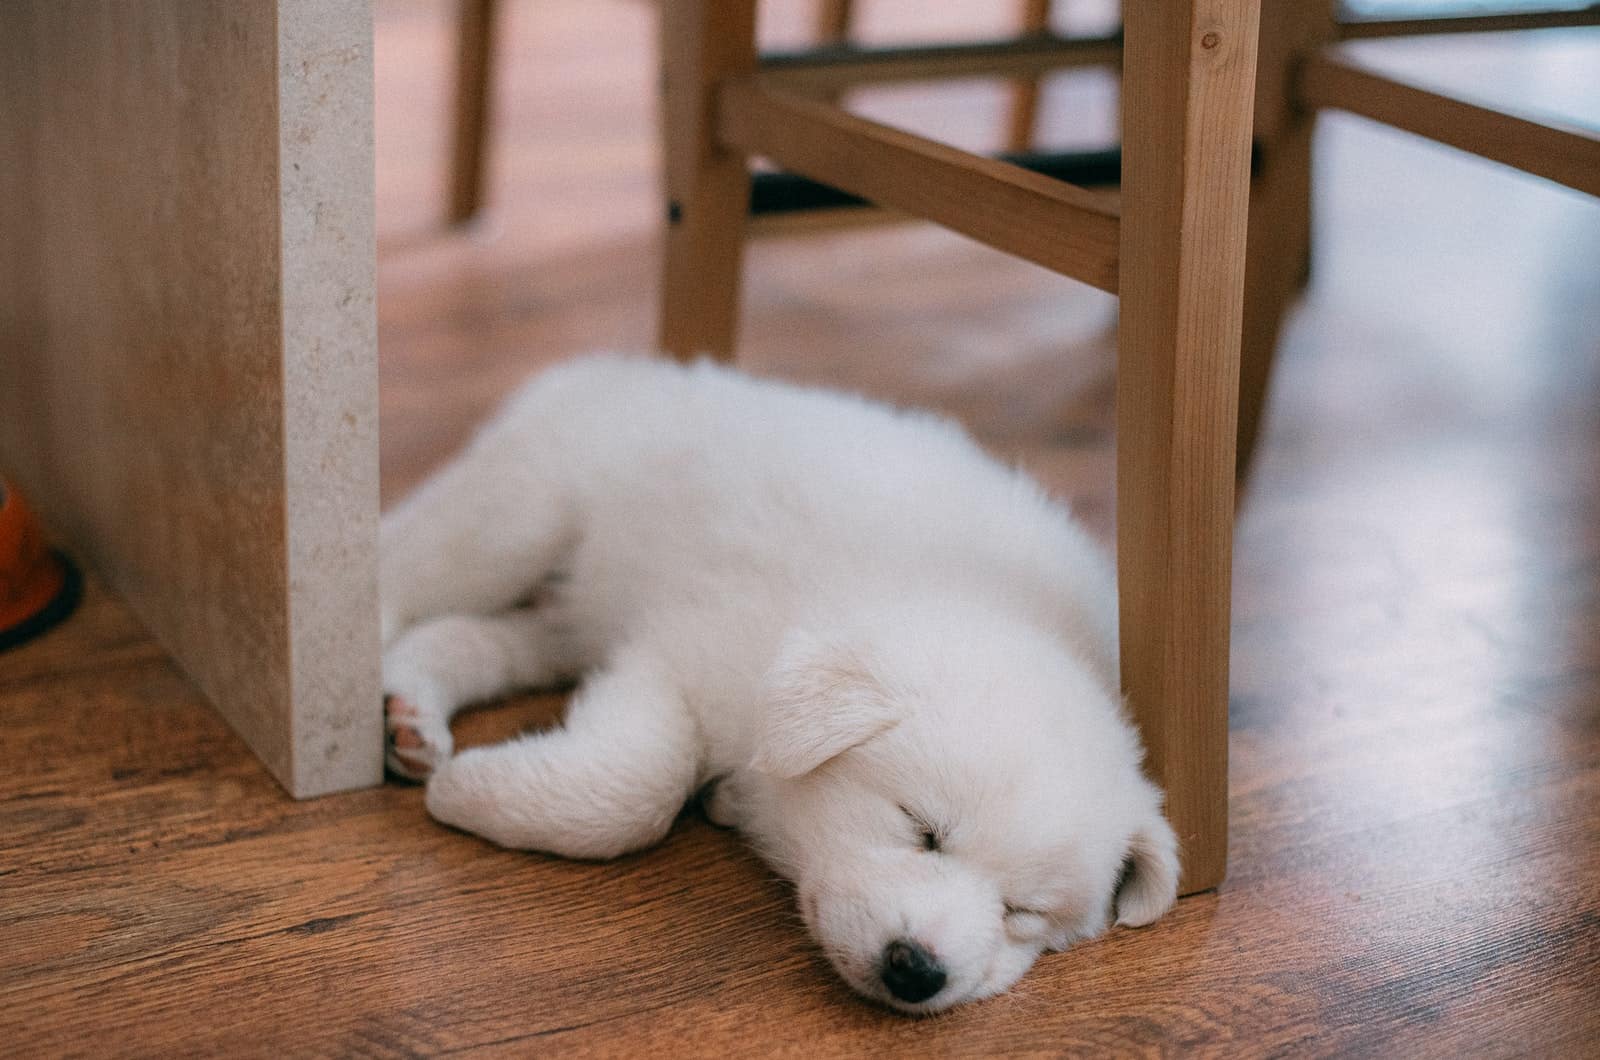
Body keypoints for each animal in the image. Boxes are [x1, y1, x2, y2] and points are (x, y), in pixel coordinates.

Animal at [380, 355, 1184, 1011]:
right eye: (922, 832)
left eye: (1025, 912)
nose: (917, 971)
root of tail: (635, 368)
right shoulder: (679, 651)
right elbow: (639, 788)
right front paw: (467, 794)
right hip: (519, 514)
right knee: (404, 568)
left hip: (558, 611)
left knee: (476, 635)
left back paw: (409, 712)